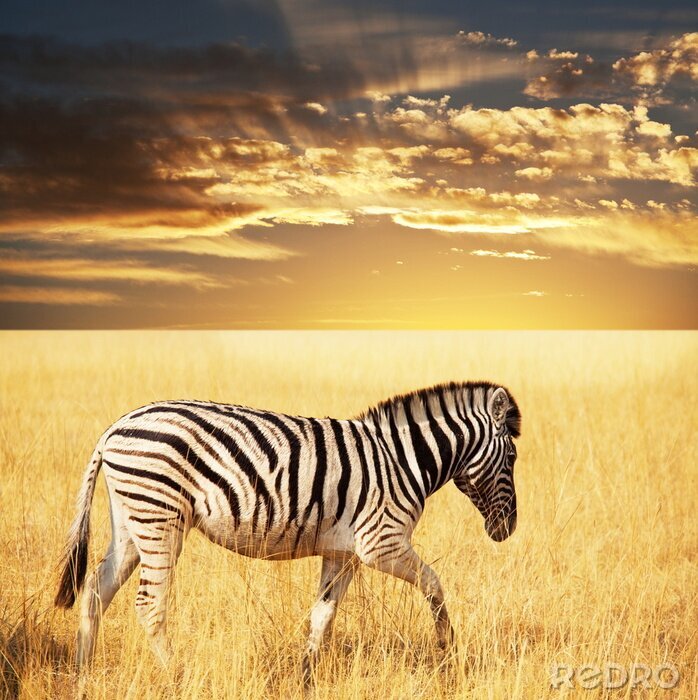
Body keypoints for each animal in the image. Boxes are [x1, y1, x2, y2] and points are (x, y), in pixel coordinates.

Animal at [55, 381, 520, 682]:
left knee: (95, 588)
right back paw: (177, 676)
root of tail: (113, 429)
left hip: (132, 522)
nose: (509, 529)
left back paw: (83, 675)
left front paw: (306, 676)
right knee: (149, 604)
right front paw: (448, 650)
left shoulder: (343, 552)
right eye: (513, 457)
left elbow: (323, 615)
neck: (404, 459)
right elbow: (435, 584)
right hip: (159, 518)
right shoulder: (380, 543)